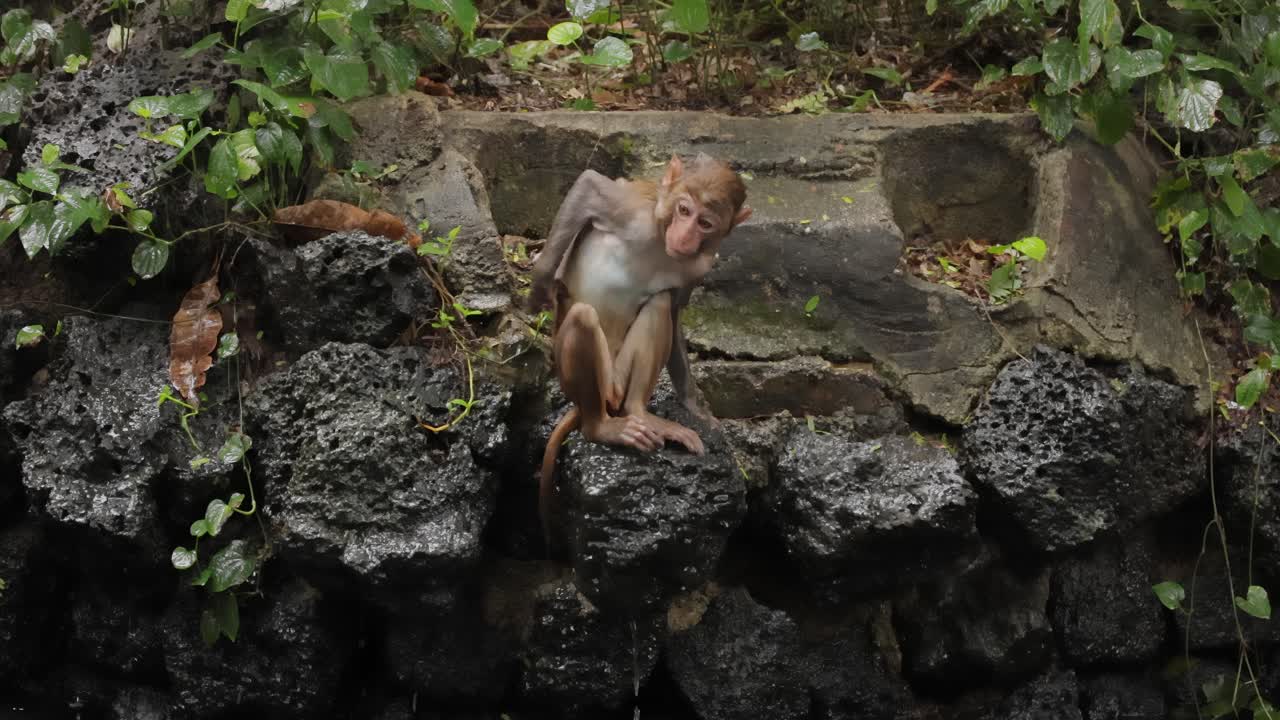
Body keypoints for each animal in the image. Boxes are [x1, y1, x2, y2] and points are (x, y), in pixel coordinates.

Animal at [529, 153, 752, 543]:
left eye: (705, 223)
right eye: (683, 209)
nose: (685, 235)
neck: (661, 240)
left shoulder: (698, 265)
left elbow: (674, 309)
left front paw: (695, 406)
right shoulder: (633, 212)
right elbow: (589, 186)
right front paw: (541, 282)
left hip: (619, 375)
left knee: (659, 303)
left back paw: (640, 412)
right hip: (589, 378)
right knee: (583, 318)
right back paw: (601, 428)